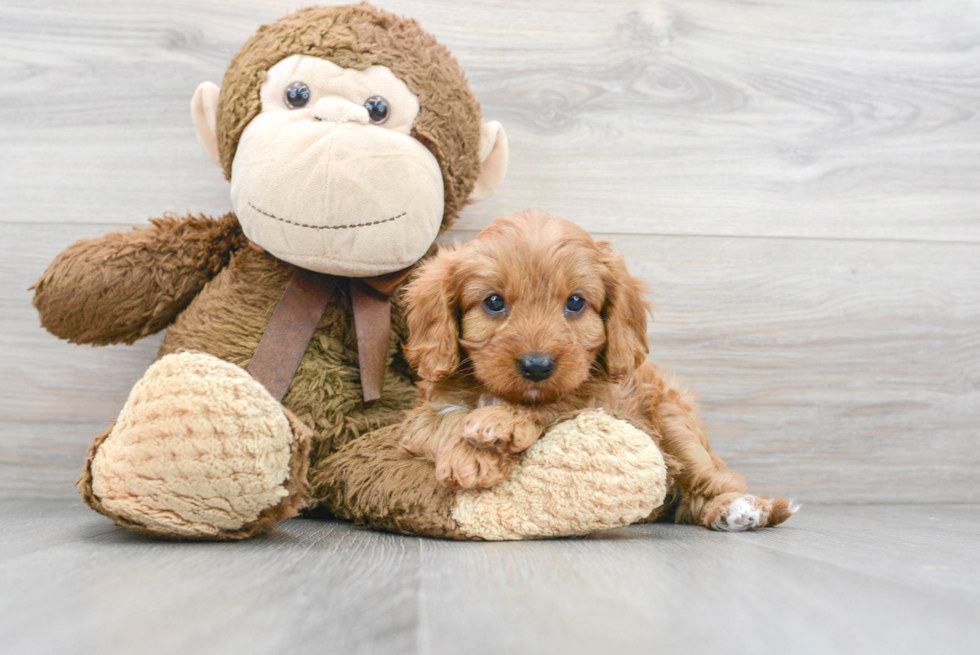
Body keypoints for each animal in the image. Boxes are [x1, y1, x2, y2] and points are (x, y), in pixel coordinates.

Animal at [398, 211, 796, 532]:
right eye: (494, 302)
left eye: (575, 302)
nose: (537, 365)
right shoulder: (422, 413)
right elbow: (442, 421)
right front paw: (473, 455)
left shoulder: (600, 402)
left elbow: (556, 403)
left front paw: (499, 425)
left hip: (674, 421)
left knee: (713, 480)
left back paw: (740, 508)